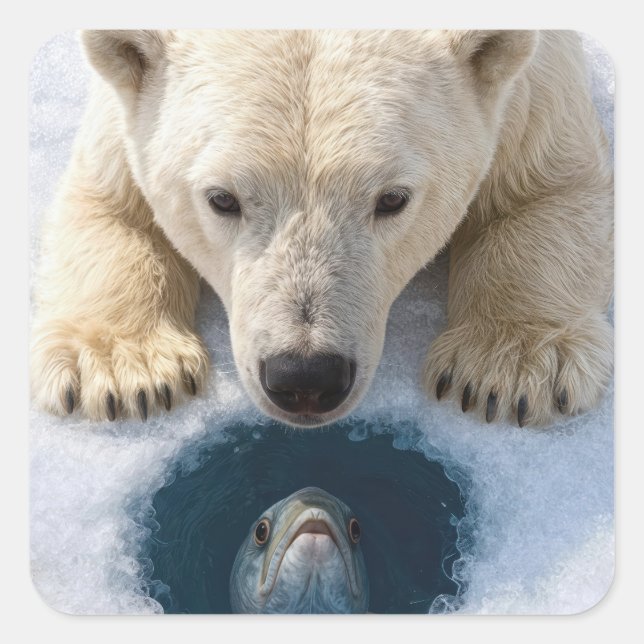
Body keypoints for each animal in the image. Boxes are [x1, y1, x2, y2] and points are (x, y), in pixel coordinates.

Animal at [30, 30, 613, 428]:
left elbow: (549, 190)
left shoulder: (536, 85)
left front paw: (507, 370)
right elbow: (110, 202)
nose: (305, 377)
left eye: (392, 199)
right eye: (222, 198)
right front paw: (125, 371)